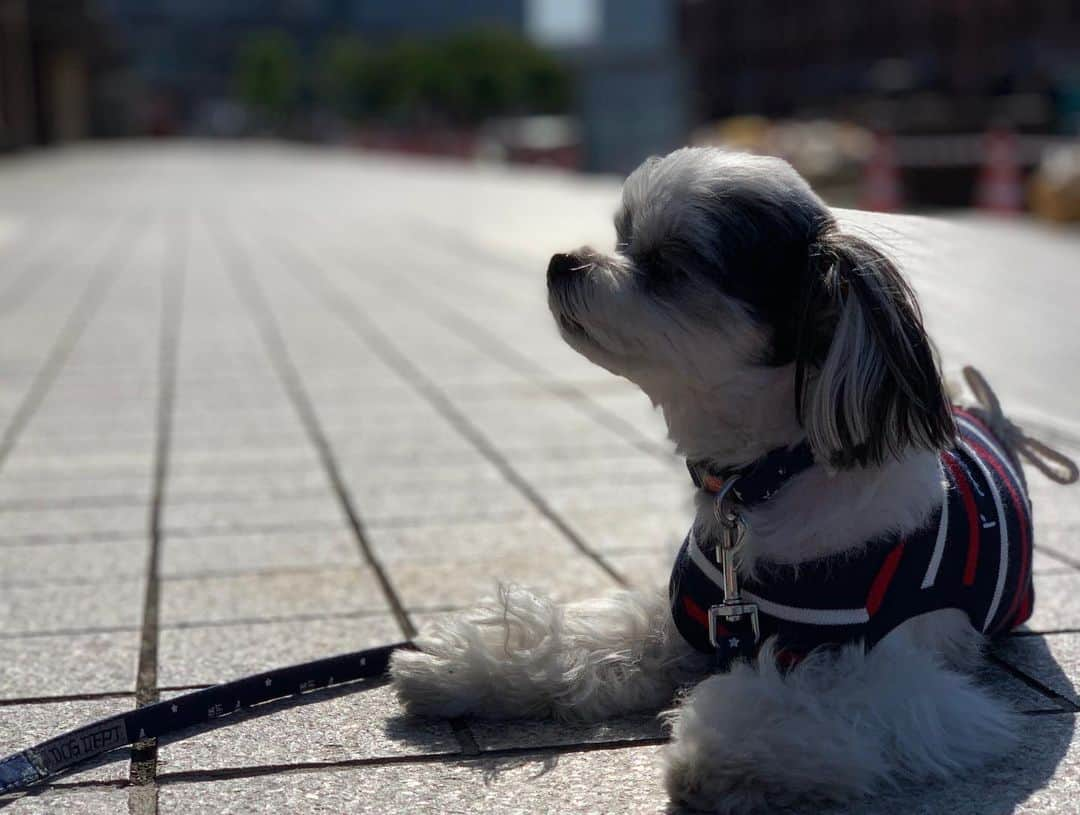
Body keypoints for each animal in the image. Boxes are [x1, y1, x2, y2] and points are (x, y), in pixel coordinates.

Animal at [386, 150, 1071, 811]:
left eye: (666, 265)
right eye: (621, 235)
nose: (563, 262)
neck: (765, 480)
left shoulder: (904, 676)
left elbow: (814, 695)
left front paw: (717, 754)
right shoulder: (694, 615)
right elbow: (596, 636)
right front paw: (466, 666)